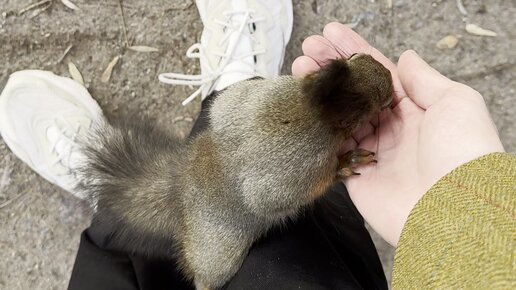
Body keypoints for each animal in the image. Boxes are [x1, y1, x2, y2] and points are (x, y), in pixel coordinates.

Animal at [76, 53, 394, 288]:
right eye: (370, 107)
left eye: (351, 56)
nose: (388, 77)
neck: (310, 109)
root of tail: (182, 192)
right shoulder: (297, 168)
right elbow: (278, 198)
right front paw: (346, 163)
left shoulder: (250, 98)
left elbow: (223, 105)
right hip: (218, 255)